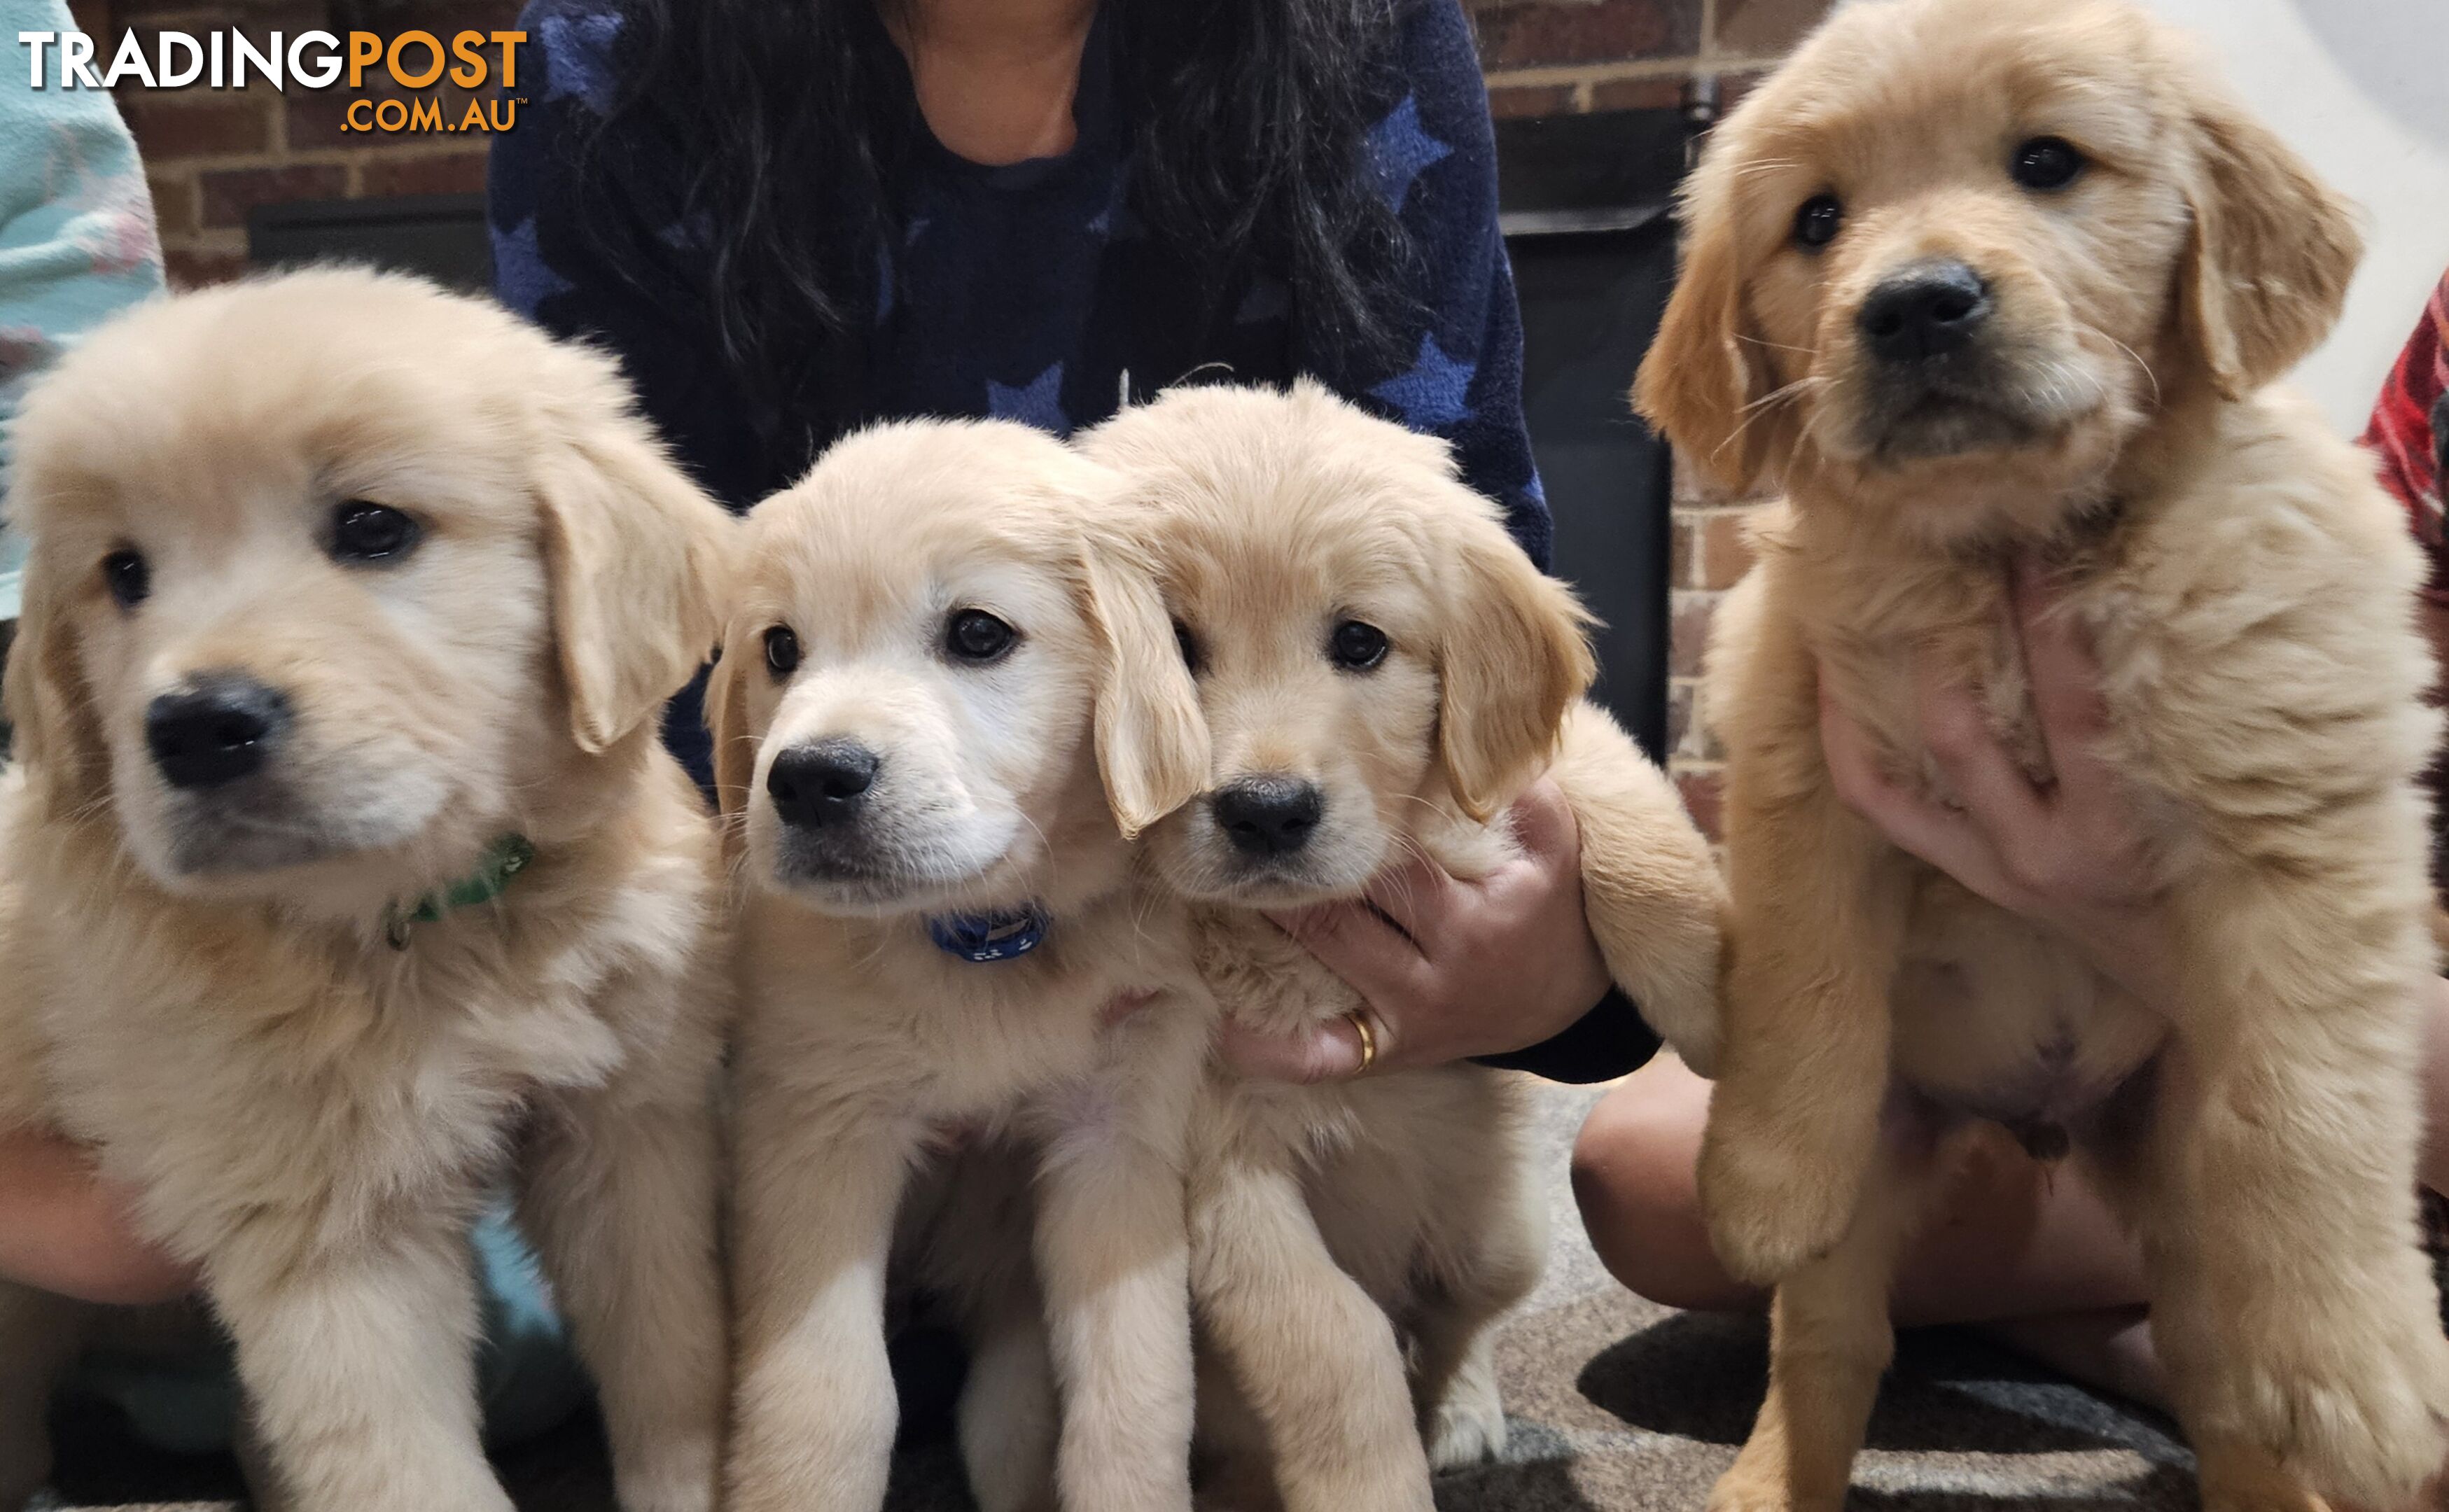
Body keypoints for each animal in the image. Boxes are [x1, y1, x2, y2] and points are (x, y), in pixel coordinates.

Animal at [0, 268, 734, 1509]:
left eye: (372, 528)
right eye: (123, 574)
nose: (197, 729)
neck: (436, 924)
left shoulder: (629, 1131)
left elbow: (671, 1369)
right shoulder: (331, 1241)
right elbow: (404, 1470)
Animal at [705, 412, 1210, 1509]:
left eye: (979, 634)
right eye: (780, 648)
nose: (806, 780)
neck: (978, 941)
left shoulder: (1114, 1136)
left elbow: (1135, 1393)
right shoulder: (817, 1131)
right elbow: (827, 1402)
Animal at [1073, 382, 1724, 1509]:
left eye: (1361, 643)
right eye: (1173, 646)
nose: (1267, 812)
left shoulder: (1541, 768)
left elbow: (1631, 818)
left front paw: (1729, 1017)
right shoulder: (1219, 1158)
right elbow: (1332, 1348)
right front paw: (1369, 1481)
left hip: (1499, 1237)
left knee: (1456, 1320)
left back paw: (1461, 1417)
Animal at [1626, 3, 2449, 1509]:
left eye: (2046, 162)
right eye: (1817, 219)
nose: (1913, 303)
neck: (2005, 548)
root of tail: (2040, 1126)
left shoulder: (2305, 826)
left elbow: (2311, 1108)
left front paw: (2359, 1374)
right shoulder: (1799, 755)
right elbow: (1804, 980)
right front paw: (1761, 1178)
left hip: (2183, 1181)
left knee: (2225, 1374)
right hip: (1886, 1175)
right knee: (1827, 1345)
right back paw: (1771, 1466)